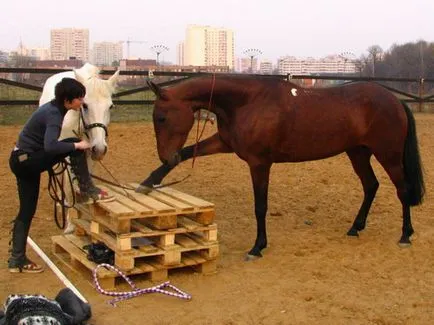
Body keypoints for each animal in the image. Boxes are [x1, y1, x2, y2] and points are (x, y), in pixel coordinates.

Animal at [39, 62, 120, 230]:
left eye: (110, 106)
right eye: (85, 105)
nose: (100, 148)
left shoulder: (89, 153)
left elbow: (85, 177)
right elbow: (69, 185)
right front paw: (70, 224)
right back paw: (60, 203)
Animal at [137, 75, 426, 258]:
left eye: (161, 117)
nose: (166, 157)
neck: (247, 101)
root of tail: (395, 100)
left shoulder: (259, 163)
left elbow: (260, 206)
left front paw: (257, 247)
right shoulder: (225, 143)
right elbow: (188, 152)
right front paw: (148, 182)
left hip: (388, 155)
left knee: (401, 190)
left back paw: (405, 235)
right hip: (358, 153)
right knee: (371, 185)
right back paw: (356, 227)